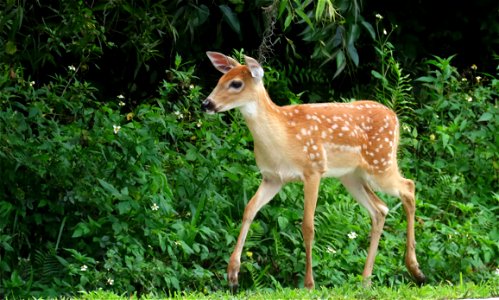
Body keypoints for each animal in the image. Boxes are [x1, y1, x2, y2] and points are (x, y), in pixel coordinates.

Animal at [201, 52, 428, 290]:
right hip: (351, 176)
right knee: (380, 208)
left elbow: (308, 226)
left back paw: (415, 270)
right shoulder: (273, 178)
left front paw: (309, 283)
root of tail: (395, 117)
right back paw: (366, 280)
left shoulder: (313, 169)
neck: (282, 137)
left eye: (236, 83)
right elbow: (249, 209)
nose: (206, 103)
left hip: (381, 163)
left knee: (409, 187)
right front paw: (232, 274)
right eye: (219, 80)